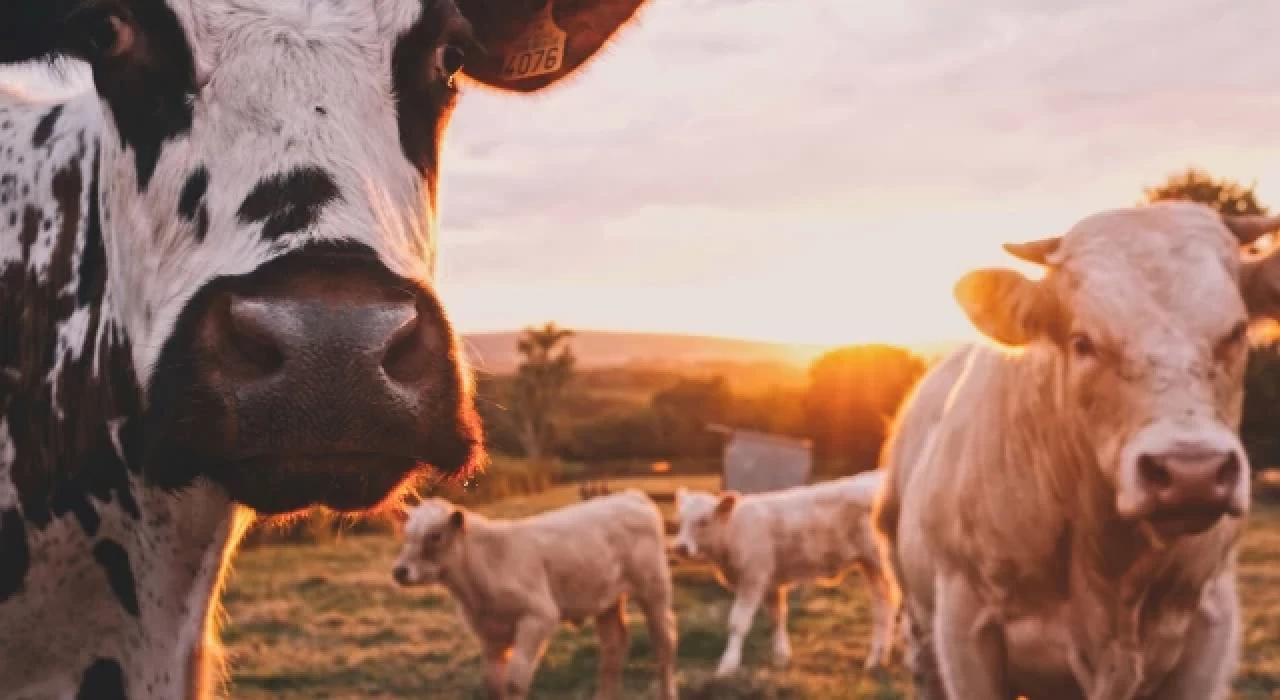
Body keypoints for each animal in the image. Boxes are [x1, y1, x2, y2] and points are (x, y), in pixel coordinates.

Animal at [391, 491, 680, 700]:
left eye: (435, 536)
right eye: (406, 534)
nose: (399, 571)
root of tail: (631, 496)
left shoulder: (538, 617)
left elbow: (515, 682)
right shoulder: (489, 633)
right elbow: (493, 685)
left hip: (654, 589)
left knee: (664, 642)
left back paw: (667, 692)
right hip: (606, 599)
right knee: (613, 647)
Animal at [675, 473, 896, 675]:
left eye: (703, 521)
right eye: (680, 520)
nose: (680, 547)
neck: (733, 530)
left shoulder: (753, 579)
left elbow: (737, 623)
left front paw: (728, 665)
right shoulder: (771, 583)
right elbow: (777, 618)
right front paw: (781, 657)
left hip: (883, 562)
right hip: (870, 565)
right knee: (883, 607)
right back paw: (877, 660)